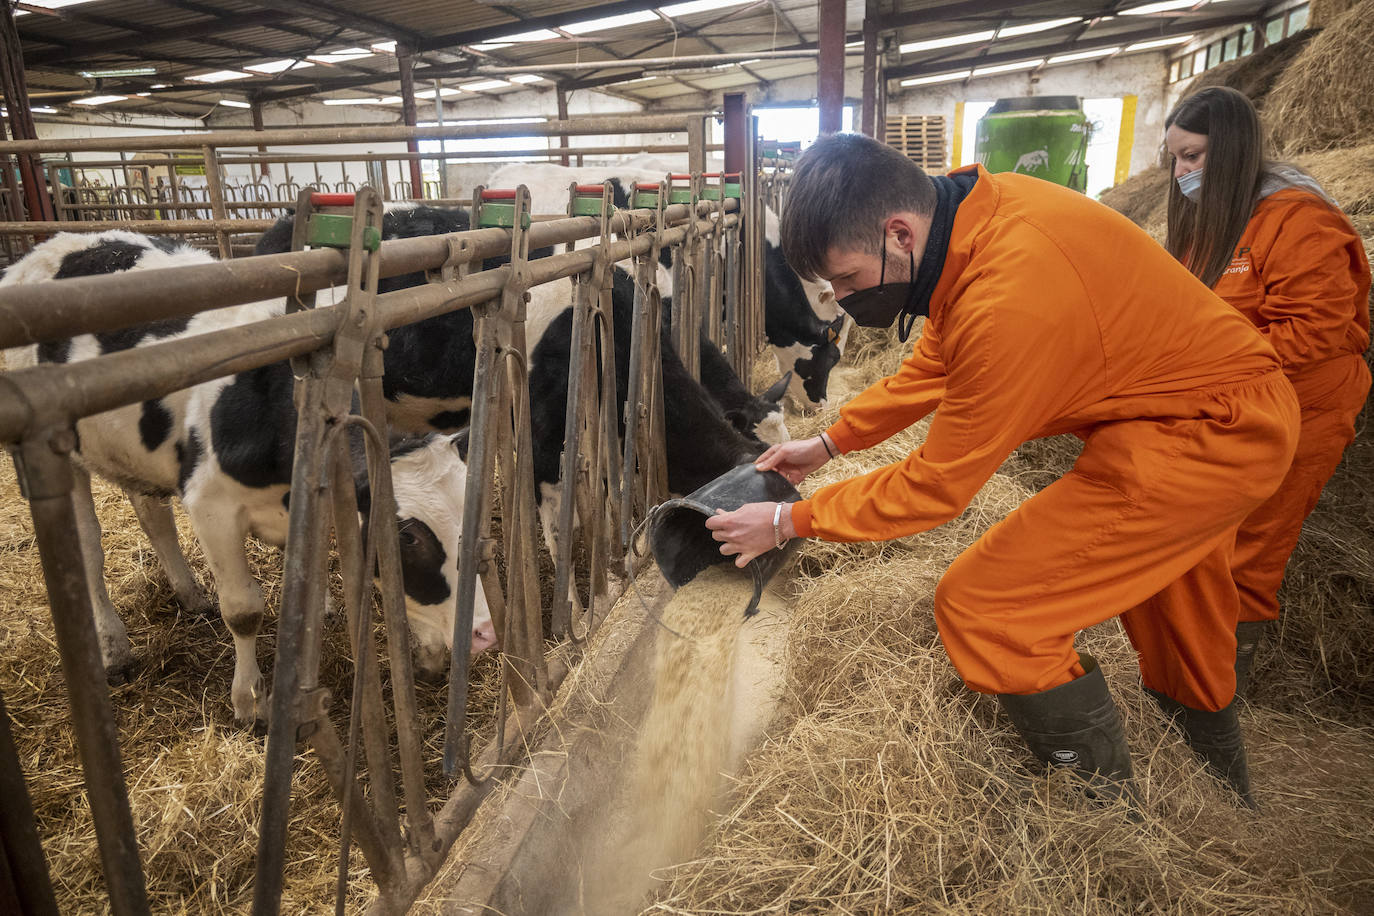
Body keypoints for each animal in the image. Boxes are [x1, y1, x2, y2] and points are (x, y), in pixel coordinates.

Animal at [2, 230, 497, 725]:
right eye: (408, 537)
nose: (485, 633)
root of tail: (55, 244)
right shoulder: (211, 507)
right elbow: (243, 610)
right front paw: (251, 700)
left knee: (152, 515)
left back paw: (190, 594)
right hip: (63, 456)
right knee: (89, 550)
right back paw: (114, 648)